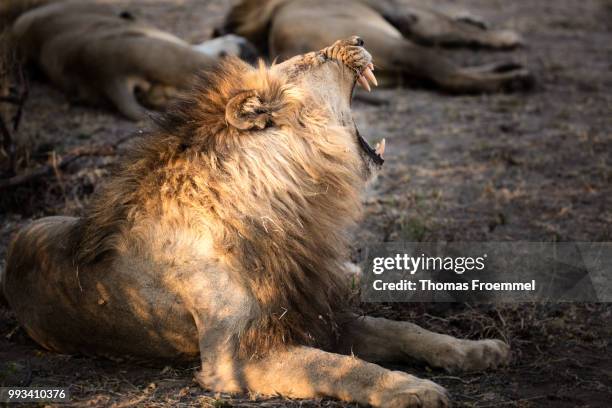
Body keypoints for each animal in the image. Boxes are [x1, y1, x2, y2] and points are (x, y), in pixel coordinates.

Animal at [1, 36, 506, 406]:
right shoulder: (240, 355)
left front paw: (477, 351)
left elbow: (402, 329)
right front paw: (411, 388)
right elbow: (341, 366)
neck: (288, 198)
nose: (360, 39)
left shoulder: (313, 312)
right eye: (318, 57)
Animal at [218, 0, 532, 93]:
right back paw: (516, 77)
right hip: (403, 47)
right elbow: (450, 23)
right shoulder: (405, 13)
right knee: (452, 76)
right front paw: (505, 36)